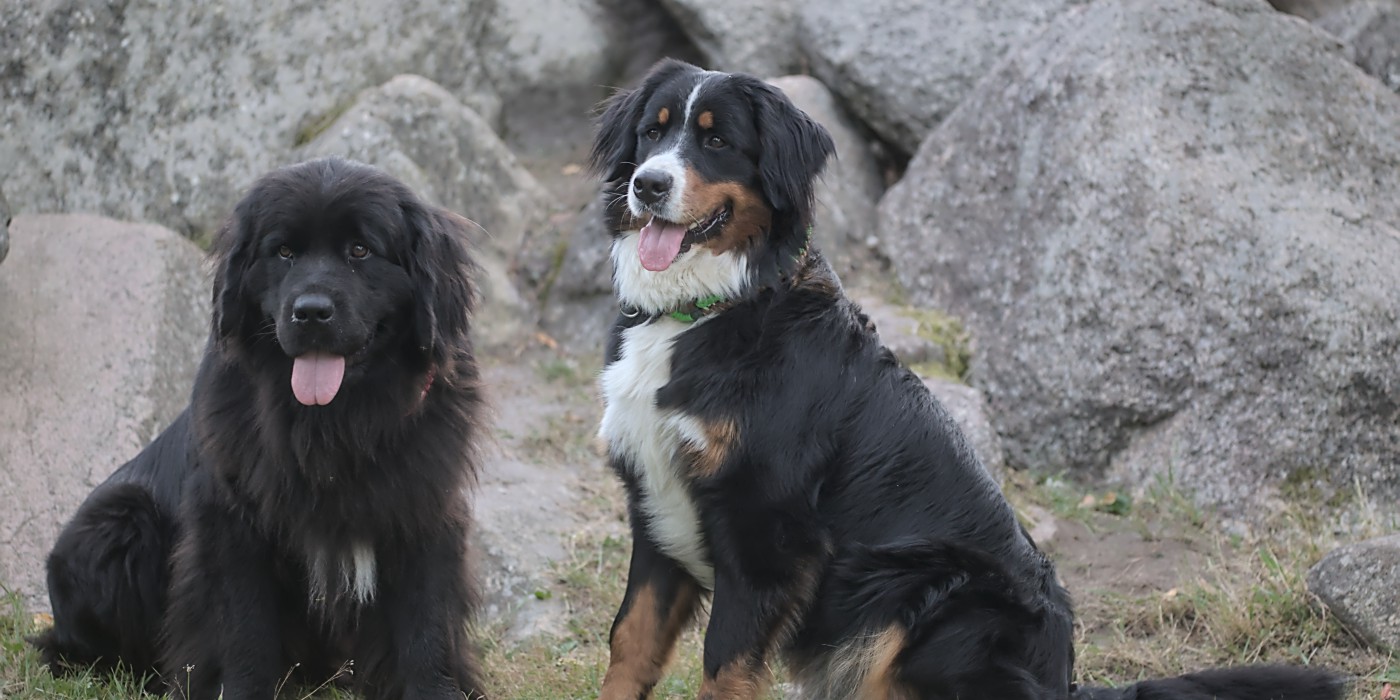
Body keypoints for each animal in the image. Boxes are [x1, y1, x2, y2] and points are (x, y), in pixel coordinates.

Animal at [32, 158, 488, 700]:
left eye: (360, 250)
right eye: (284, 251)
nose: (310, 311)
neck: (335, 423)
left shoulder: (425, 509)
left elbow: (427, 623)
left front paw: (437, 689)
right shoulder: (231, 520)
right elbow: (244, 624)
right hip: (115, 522)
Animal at [588, 58, 1344, 700]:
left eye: (716, 141)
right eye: (653, 131)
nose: (649, 184)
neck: (711, 308)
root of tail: (1063, 680)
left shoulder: (764, 532)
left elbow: (724, 668)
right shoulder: (657, 507)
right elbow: (628, 643)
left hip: (928, 602)